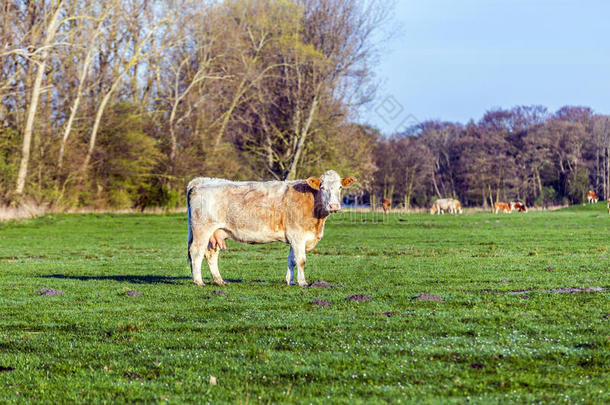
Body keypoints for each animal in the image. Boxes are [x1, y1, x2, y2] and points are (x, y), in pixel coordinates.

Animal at [186, 169, 356, 286]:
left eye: (340, 187)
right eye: (322, 187)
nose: (334, 206)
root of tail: (203, 181)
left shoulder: (294, 237)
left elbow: (291, 260)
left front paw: (290, 281)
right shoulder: (298, 236)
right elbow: (301, 260)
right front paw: (302, 282)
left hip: (215, 233)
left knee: (210, 254)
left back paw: (219, 280)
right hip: (202, 229)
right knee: (196, 252)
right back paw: (199, 281)